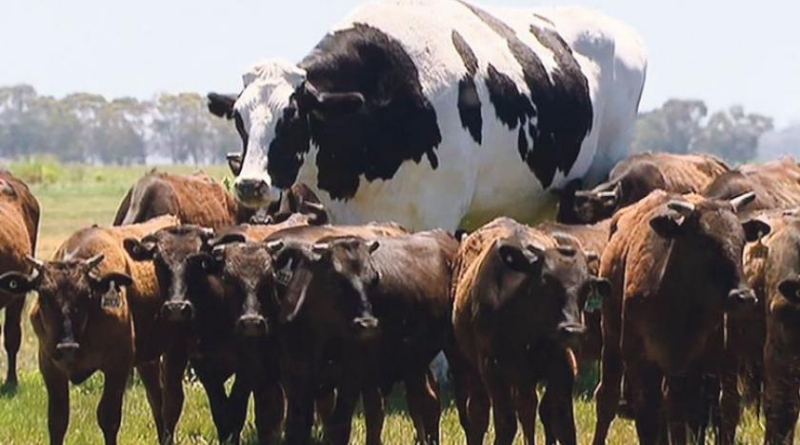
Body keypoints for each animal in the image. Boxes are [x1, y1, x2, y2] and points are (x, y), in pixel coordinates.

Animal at [0, 215, 177, 444]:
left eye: (86, 294)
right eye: (44, 295)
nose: (66, 346)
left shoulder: (118, 365)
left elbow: (108, 417)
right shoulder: (50, 366)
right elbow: (57, 420)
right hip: (148, 359)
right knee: (156, 397)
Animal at [450, 218, 612, 444]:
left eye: (586, 288)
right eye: (546, 281)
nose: (572, 329)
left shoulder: (563, 364)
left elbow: (562, 422)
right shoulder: (492, 368)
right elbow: (506, 423)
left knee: (527, 408)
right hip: (471, 365)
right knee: (479, 412)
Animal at [592, 190, 772, 444]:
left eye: (741, 242)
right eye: (704, 243)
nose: (743, 296)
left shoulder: (705, 364)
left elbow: (698, 414)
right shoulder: (640, 361)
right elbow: (648, 417)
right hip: (611, 338)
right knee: (607, 399)